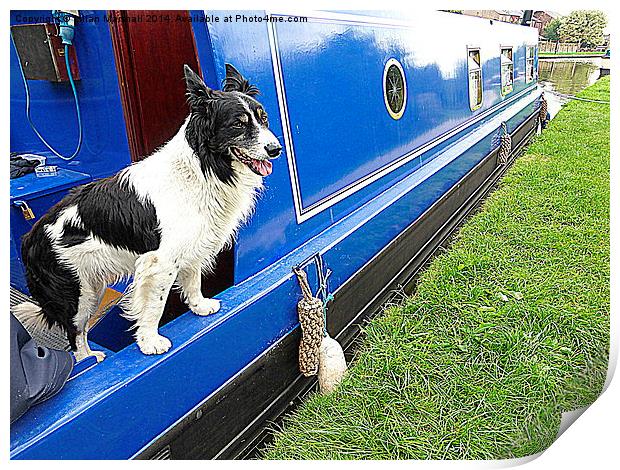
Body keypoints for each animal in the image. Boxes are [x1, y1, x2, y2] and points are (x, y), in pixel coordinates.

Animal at [13, 64, 282, 360]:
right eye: (238, 124)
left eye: (263, 119)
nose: (276, 149)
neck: (203, 168)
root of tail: (29, 237)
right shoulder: (159, 262)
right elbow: (155, 305)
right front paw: (150, 342)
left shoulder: (190, 245)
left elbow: (193, 279)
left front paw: (199, 306)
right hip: (76, 292)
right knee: (74, 334)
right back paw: (89, 358)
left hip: (93, 286)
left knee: (81, 332)